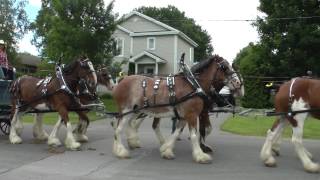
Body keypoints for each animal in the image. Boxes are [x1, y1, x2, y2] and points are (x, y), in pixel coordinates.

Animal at [111, 55, 241, 163]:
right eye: (225, 67)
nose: (238, 83)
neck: (193, 85)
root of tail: (122, 80)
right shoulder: (192, 114)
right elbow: (194, 134)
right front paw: (200, 155)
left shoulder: (185, 116)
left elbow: (177, 132)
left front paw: (166, 150)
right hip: (126, 110)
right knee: (119, 129)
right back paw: (121, 151)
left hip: (135, 110)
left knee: (127, 125)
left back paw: (127, 144)